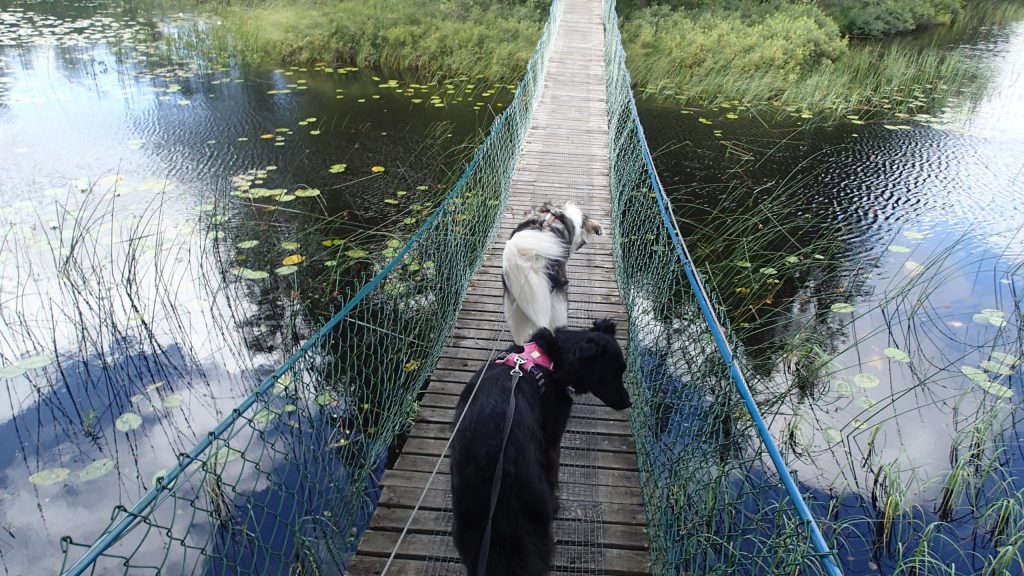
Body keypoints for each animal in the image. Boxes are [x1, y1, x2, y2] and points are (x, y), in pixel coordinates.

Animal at [450, 317, 626, 573]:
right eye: (612, 374)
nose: (628, 402)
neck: (548, 360)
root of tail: (491, 467)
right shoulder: (551, 438)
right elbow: (553, 469)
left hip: (471, 532)